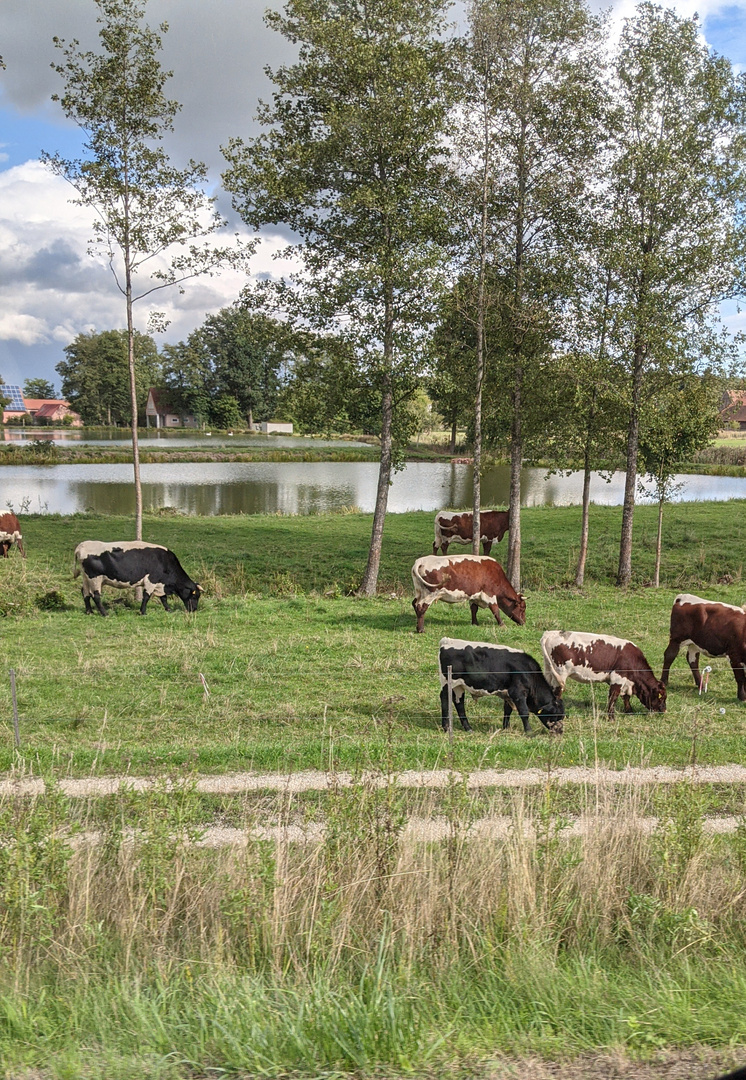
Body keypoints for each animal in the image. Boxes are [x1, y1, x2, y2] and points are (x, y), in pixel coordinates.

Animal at [73, 540, 202, 617]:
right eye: (195, 596)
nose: (194, 609)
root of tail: (82, 545)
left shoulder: (160, 584)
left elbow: (163, 598)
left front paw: (168, 609)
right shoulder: (151, 580)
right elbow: (146, 597)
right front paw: (143, 612)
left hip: (86, 578)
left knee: (85, 592)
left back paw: (89, 611)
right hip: (95, 578)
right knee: (96, 595)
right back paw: (105, 613)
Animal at [539, 626, 669, 717]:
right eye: (662, 697)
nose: (664, 710)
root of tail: (551, 633)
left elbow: (625, 697)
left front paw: (629, 711)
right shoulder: (617, 678)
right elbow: (613, 697)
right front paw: (611, 717)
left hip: (549, 672)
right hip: (560, 674)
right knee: (557, 692)